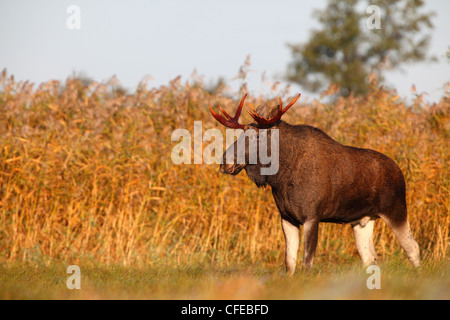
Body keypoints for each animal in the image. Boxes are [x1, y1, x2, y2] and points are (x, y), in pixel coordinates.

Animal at [209, 94, 420, 274]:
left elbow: (307, 263)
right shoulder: (287, 218)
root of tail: (400, 171)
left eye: (257, 136)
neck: (281, 176)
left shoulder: (312, 216)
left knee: (413, 248)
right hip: (362, 221)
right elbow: (289, 263)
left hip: (396, 210)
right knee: (371, 258)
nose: (224, 163)